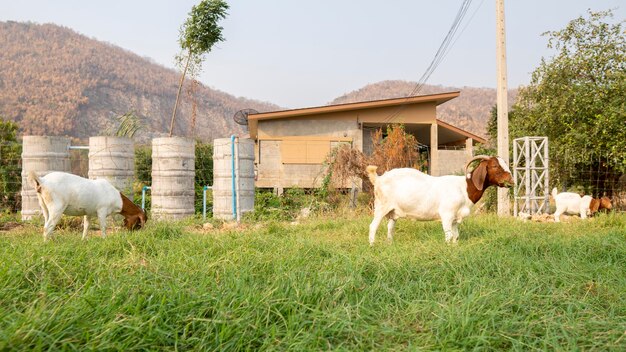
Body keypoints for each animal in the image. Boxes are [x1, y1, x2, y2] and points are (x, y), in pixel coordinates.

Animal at [366, 155, 512, 243]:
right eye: (494, 166)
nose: (511, 181)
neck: (464, 188)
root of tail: (379, 179)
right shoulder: (447, 214)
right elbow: (449, 236)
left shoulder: (455, 219)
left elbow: (456, 236)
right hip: (381, 207)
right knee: (373, 226)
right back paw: (372, 245)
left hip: (393, 212)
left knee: (390, 227)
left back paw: (390, 243)